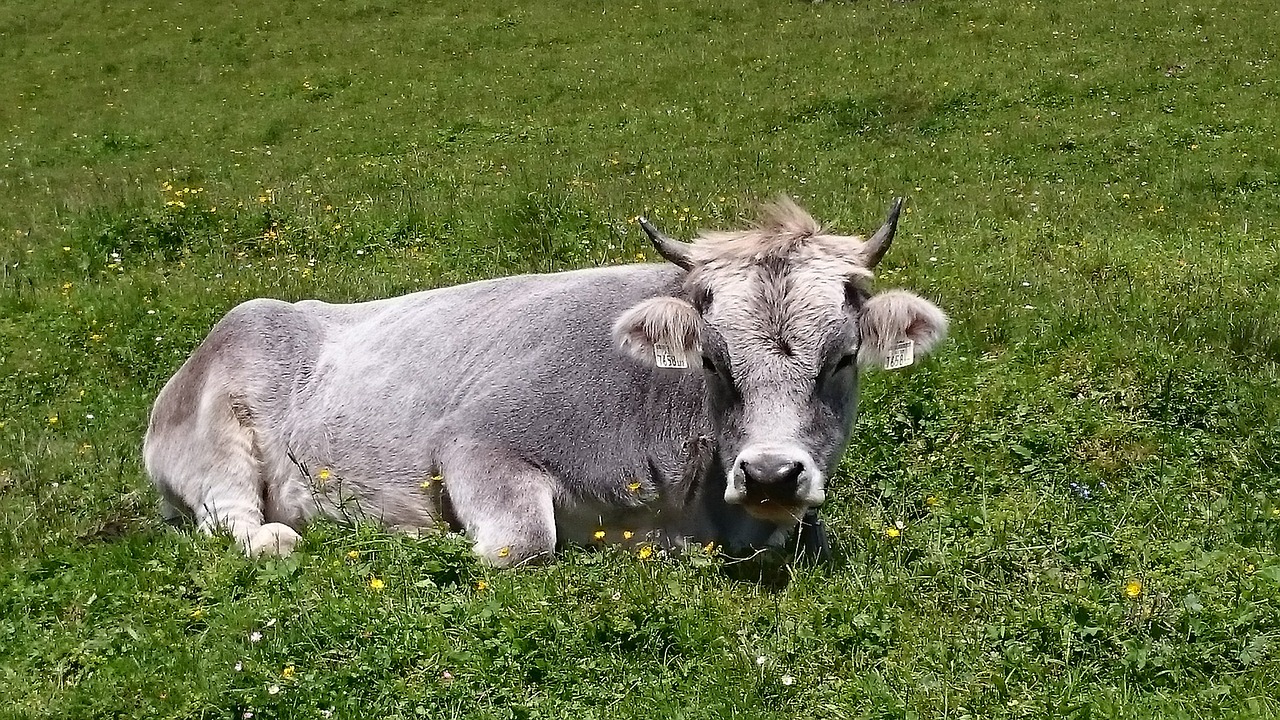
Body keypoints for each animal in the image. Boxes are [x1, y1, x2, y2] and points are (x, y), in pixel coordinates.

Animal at [142, 194, 952, 561]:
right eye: (715, 361)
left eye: (842, 359)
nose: (772, 474)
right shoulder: (477, 439)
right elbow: (521, 542)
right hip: (208, 451)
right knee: (232, 517)